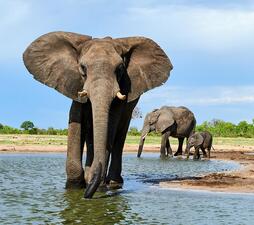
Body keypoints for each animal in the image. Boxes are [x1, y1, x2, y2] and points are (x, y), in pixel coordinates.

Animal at [22, 30, 173, 198]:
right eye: (82, 68)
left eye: (120, 68)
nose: (86, 196)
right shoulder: (75, 84)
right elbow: (76, 121)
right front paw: (75, 186)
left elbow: (111, 125)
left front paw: (95, 184)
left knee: (119, 135)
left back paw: (113, 182)